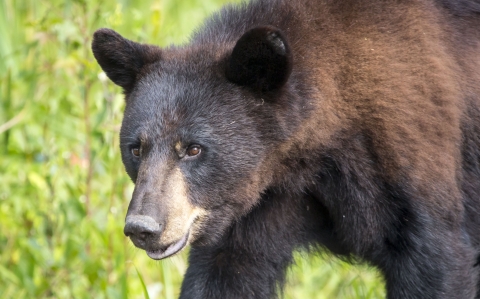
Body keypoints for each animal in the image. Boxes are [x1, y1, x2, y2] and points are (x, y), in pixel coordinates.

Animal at [91, 0, 480, 298]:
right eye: (136, 149)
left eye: (193, 149)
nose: (143, 227)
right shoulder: (257, 204)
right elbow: (228, 272)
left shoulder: (408, 166)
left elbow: (434, 261)